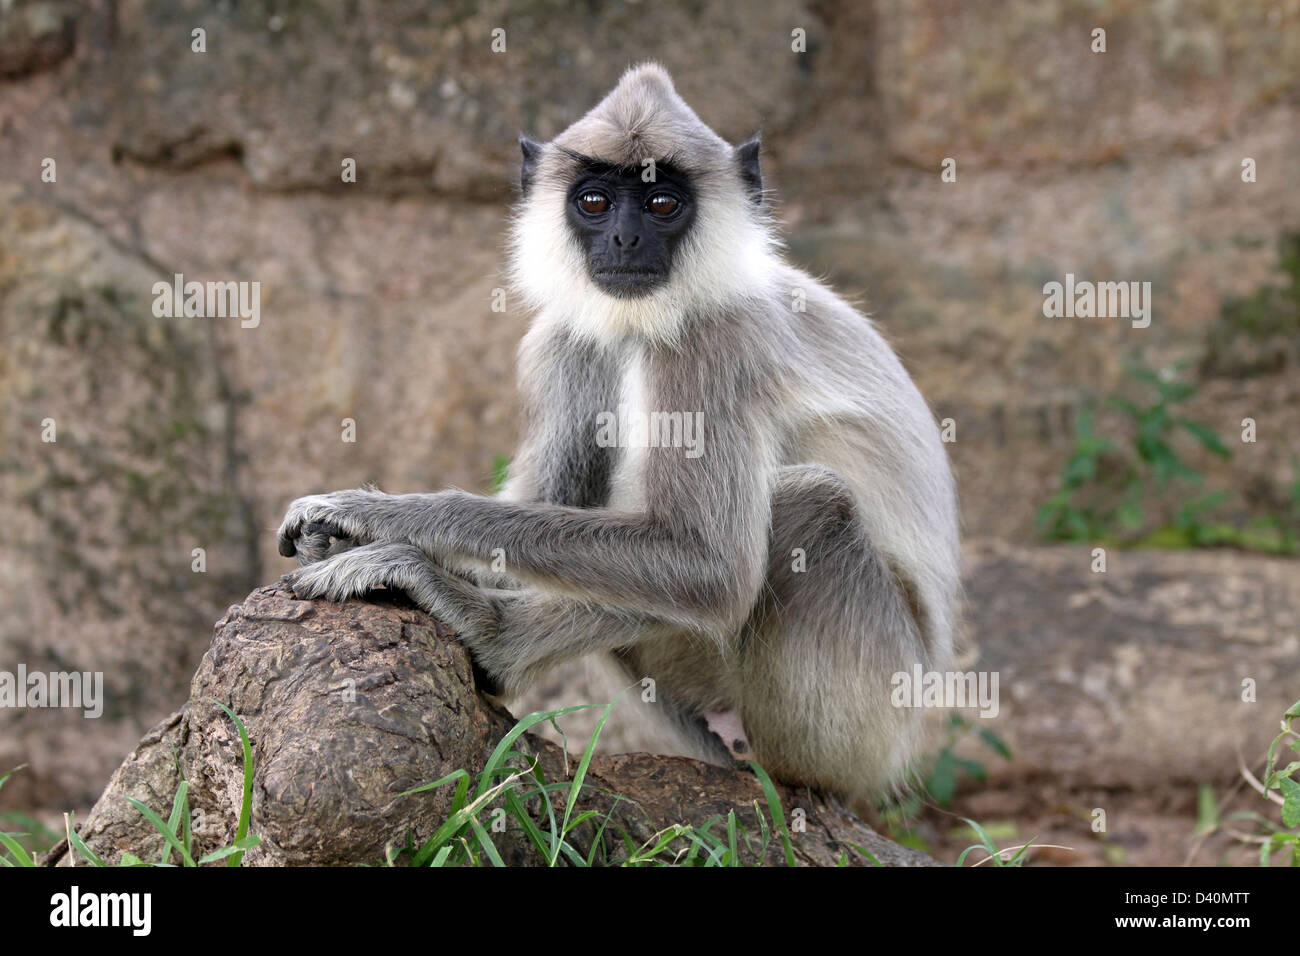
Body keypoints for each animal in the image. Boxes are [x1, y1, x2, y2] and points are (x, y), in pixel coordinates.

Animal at [276, 63, 967, 806]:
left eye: (662, 204)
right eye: (596, 202)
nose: (626, 241)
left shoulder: (715, 343)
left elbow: (711, 566)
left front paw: (381, 518)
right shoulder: (562, 336)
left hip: (868, 719)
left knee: (806, 507)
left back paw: (494, 639)